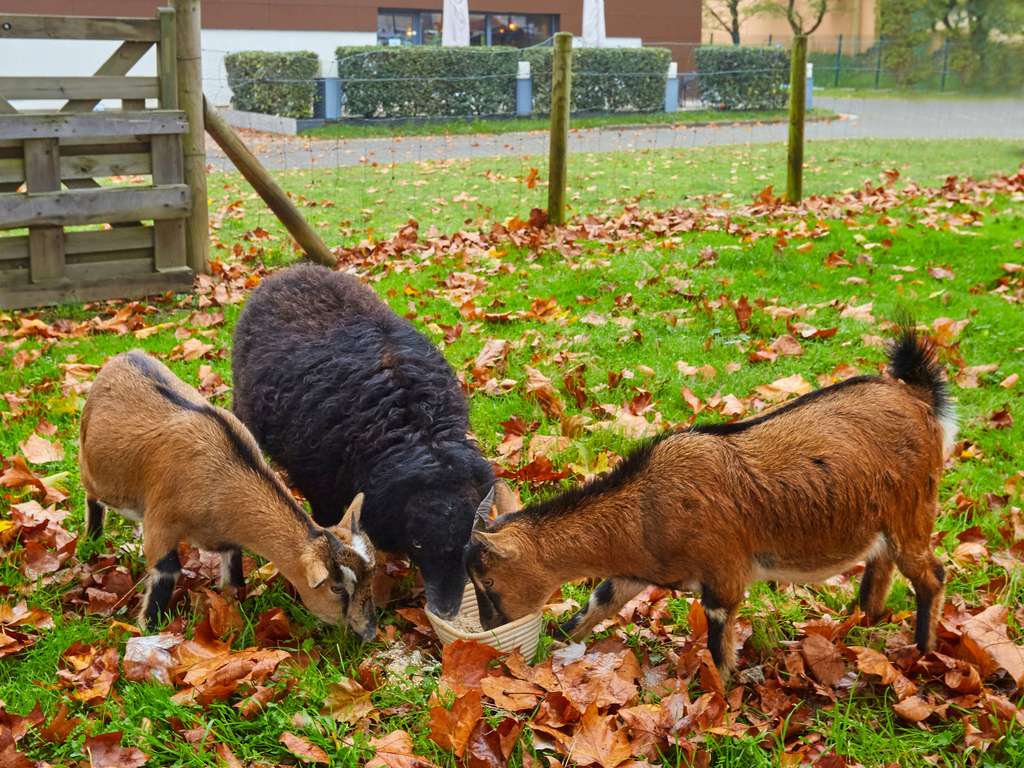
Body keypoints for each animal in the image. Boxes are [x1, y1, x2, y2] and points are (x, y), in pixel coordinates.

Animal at [78, 350, 376, 638]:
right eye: (336, 588)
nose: (369, 631)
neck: (223, 476)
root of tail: (123, 357)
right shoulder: (161, 521)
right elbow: (166, 571)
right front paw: (147, 630)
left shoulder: (226, 536)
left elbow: (233, 574)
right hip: (90, 467)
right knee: (93, 499)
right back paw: (91, 541)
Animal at [230, 264, 493, 618]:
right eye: (418, 542)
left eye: (467, 540)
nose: (445, 611)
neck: (415, 428)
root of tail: (293, 269)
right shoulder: (321, 487)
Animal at [468, 329, 954, 671]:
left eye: (487, 581)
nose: (491, 629)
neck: (645, 506)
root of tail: (918, 396)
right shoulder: (635, 570)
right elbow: (596, 604)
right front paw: (549, 652)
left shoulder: (724, 576)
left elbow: (720, 651)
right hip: (884, 521)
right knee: (880, 564)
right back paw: (860, 625)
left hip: (914, 509)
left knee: (931, 574)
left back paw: (923, 652)